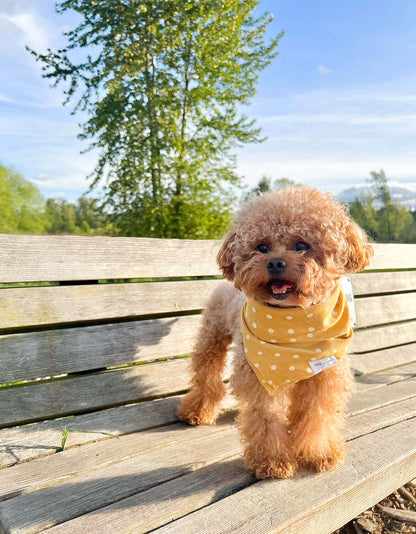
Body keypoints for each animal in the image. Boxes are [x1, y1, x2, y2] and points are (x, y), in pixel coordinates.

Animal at [177, 187, 372, 482]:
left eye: (302, 245)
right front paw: (272, 462)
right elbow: (267, 419)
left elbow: (316, 415)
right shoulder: (259, 378)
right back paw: (197, 411)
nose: (276, 263)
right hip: (212, 338)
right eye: (262, 247)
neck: (292, 327)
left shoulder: (324, 376)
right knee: (206, 375)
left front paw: (317, 453)